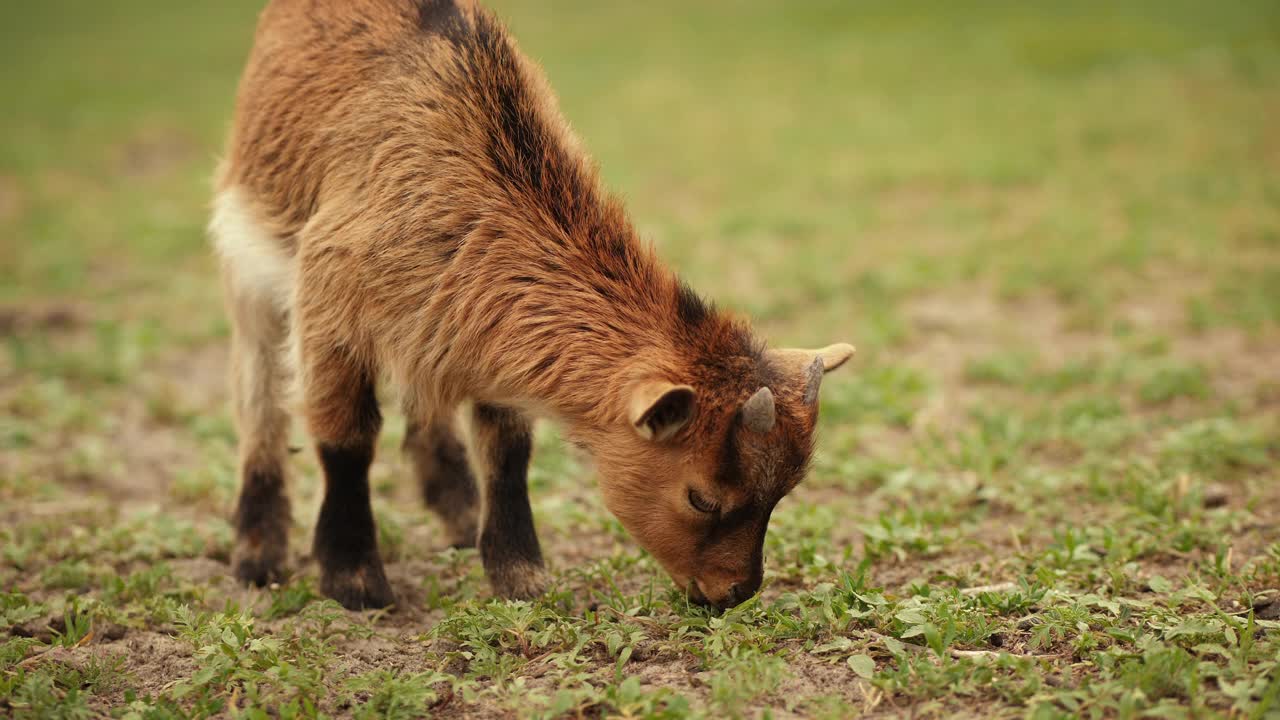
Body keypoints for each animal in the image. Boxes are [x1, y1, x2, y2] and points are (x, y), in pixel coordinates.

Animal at [212, 0, 849, 609]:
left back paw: (460, 516)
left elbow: (507, 449)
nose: (735, 592)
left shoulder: (477, 325)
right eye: (702, 498)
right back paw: (258, 555)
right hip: (247, 265)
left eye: (779, 495)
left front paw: (520, 578)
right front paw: (355, 583)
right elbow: (345, 438)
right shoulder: (329, 309)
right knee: (258, 398)